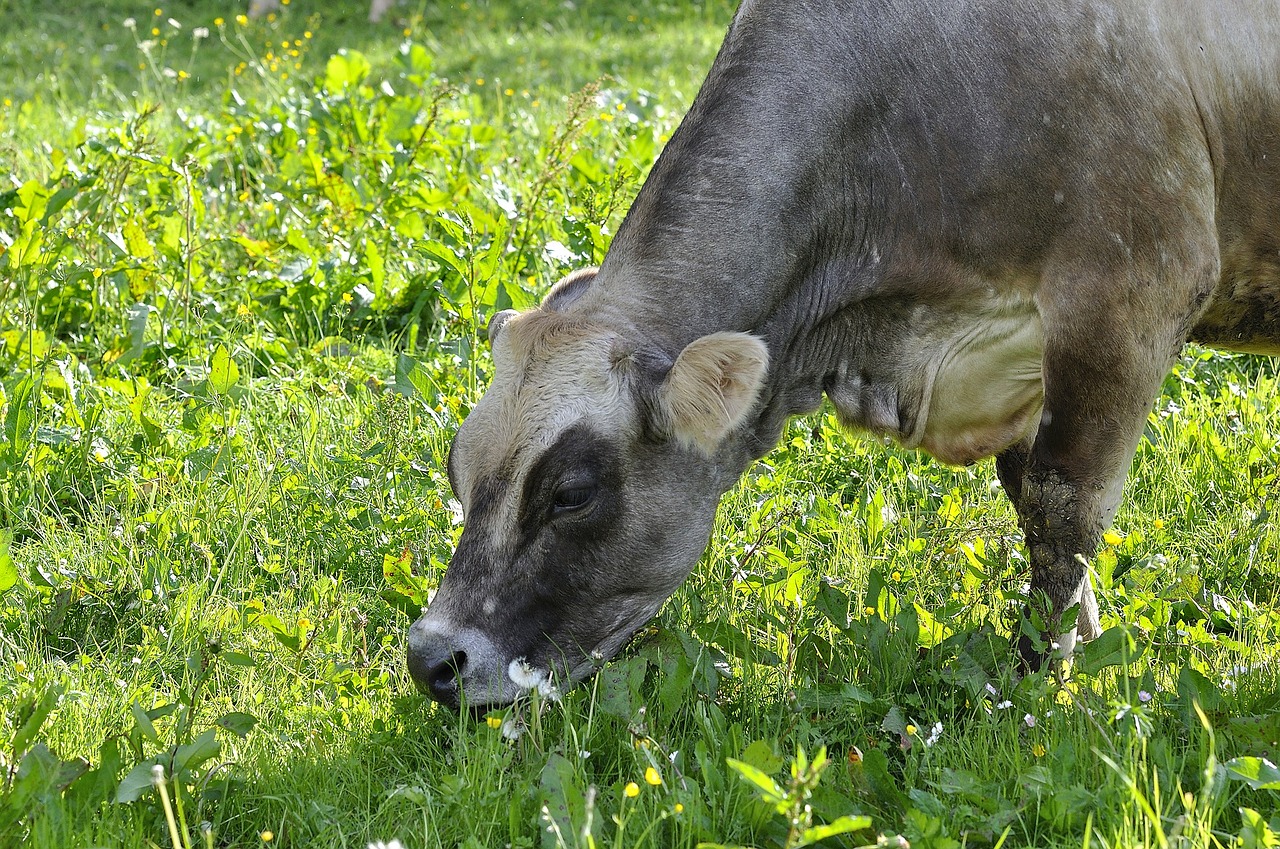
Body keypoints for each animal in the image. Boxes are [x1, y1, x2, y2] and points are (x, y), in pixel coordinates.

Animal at [407, 0, 1280, 711]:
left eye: (571, 493)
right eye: (455, 465)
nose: (430, 660)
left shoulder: (1129, 292)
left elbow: (1062, 506)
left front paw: (1036, 685)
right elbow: (1029, 498)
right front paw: (1088, 653)